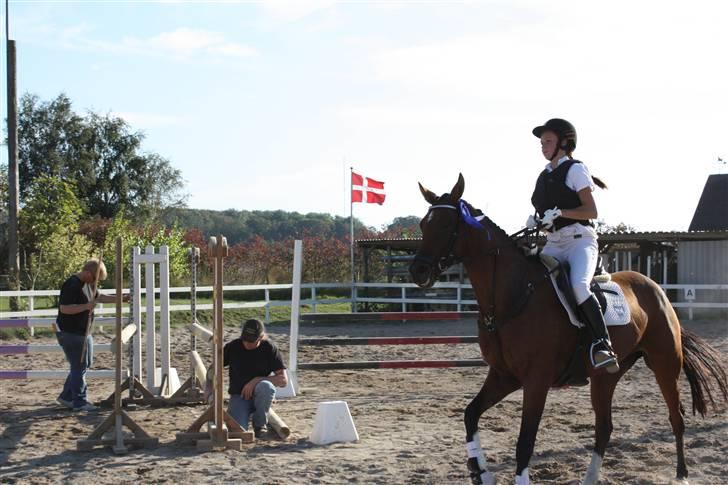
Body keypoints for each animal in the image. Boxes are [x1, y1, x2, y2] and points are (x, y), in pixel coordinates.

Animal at [409, 174, 727, 485]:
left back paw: (682, 475)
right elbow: (470, 415)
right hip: (605, 377)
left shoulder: (536, 381)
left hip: (664, 363)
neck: (513, 296)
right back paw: (590, 478)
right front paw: (481, 472)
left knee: (676, 418)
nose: (418, 271)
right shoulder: (503, 376)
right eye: (424, 224)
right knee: (604, 427)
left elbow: (525, 443)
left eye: (446, 224)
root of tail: (654, 287)